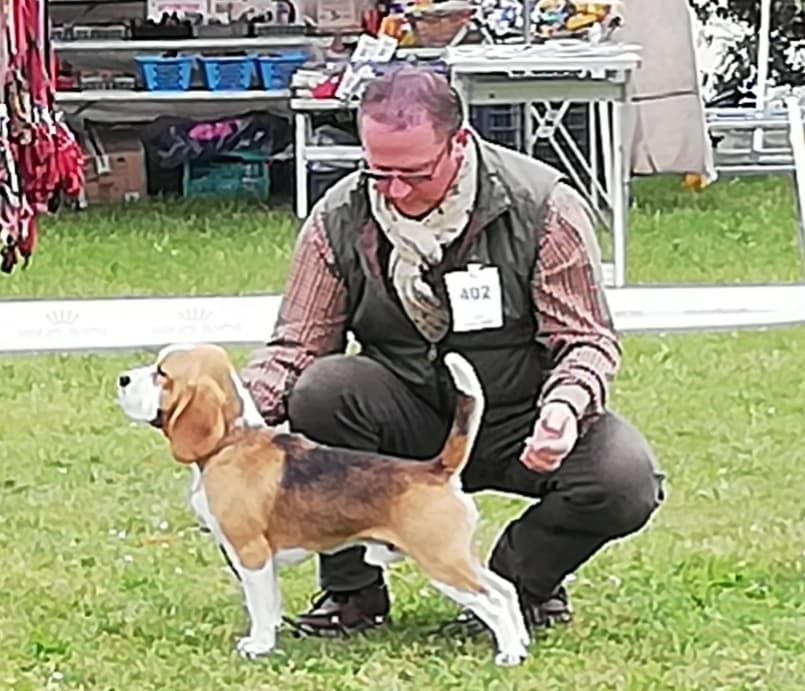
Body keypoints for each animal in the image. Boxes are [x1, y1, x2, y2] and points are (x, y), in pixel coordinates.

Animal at [113, 344, 528, 668]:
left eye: (162, 374)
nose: (122, 379)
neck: (232, 439)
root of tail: (436, 470)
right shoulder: (261, 561)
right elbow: (271, 603)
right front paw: (271, 637)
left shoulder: (251, 553)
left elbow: (259, 605)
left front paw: (259, 645)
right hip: (456, 557)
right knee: (506, 588)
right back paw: (522, 642)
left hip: (440, 561)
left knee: (491, 600)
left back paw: (508, 653)